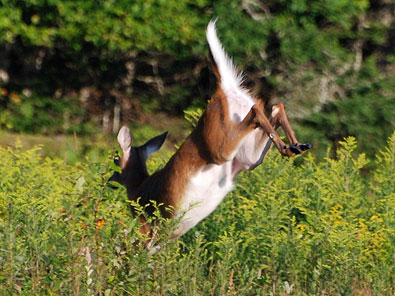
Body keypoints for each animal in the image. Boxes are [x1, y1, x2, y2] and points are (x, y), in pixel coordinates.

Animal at [109, 19, 312, 249]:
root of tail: (224, 89)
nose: (110, 180)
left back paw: (291, 146)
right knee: (276, 107)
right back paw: (296, 146)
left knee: (257, 111)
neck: (138, 187)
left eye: (115, 158)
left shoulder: (147, 228)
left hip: (220, 146)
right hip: (248, 157)